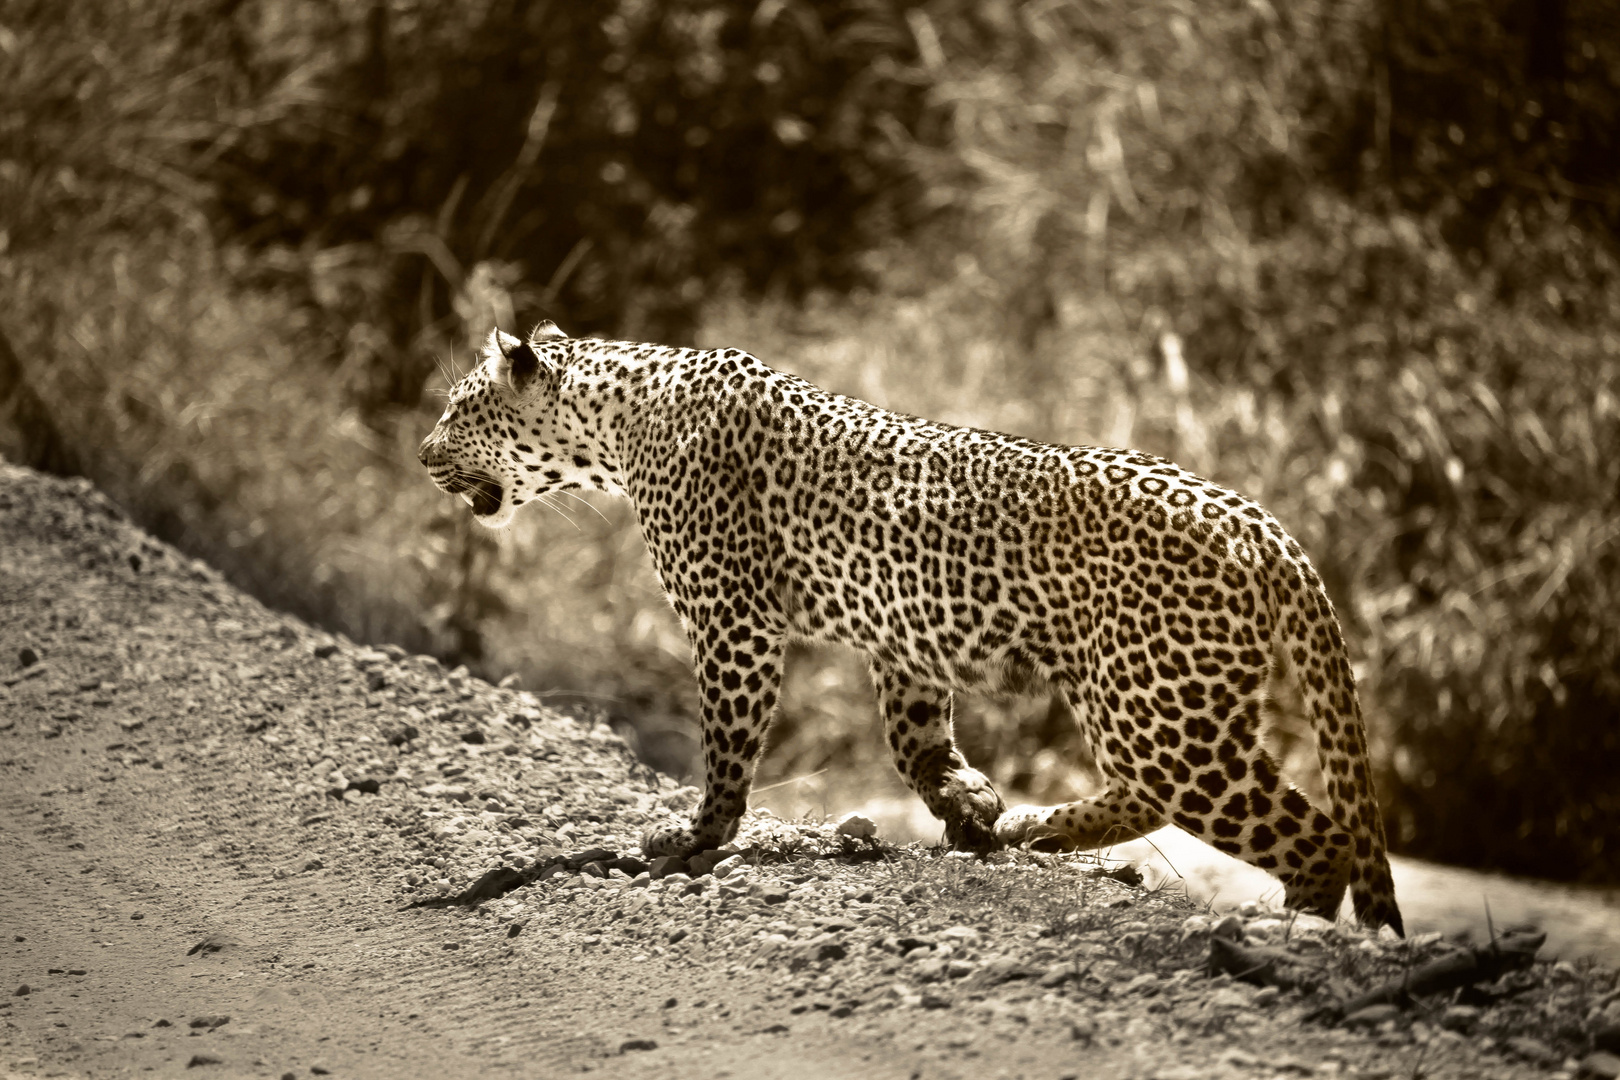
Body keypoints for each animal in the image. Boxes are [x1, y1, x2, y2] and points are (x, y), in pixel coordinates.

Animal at [417, 323, 1406, 939]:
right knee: (1156, 794)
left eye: (460, 410)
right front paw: (970, 803)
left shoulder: (733, 620)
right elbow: (915, 738)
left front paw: (697, 837)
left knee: (1309, 835)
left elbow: (728, 744)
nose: (422, 456)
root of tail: (1266, 525)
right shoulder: (906, 640)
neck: (617, 423)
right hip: (1147, 698)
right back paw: (1034, 829)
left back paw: (1295, 931)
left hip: (1166, 709)